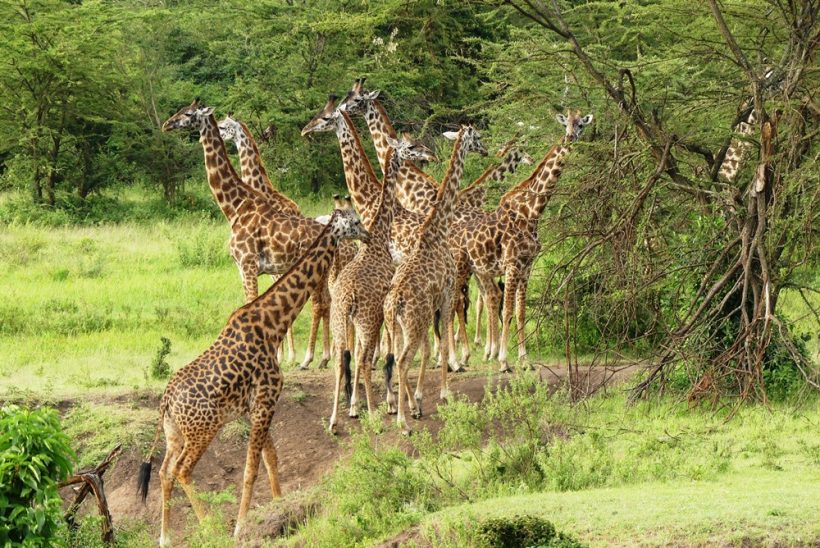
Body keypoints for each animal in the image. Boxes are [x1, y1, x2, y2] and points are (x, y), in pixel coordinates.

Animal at [139, 204, 372, 544]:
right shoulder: (265, 400)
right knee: (182, 470)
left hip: (174, 434)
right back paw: (211, 527)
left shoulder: (257, 406)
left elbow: (270, 458)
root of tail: (166, 400)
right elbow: (251, 468)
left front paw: (281, 508)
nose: (368, 235)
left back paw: (165, 537)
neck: (273, 325)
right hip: (202, 431)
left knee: (164, 470)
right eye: (354, 222)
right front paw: (239, 527)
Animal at [382, 125, 486, 432]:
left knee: (394, 359)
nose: (485, 149)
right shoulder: (448, 293)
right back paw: (403, 422)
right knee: (403, 360)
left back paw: (405, 409)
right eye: (477, 137)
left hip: (397, 327)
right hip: (414, 323)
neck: (437, 229)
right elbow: (444, 341)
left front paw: (420, 399)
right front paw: (445, 391)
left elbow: (435, 345)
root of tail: (395, 303)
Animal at [454, 109, 588, 370]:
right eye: (565, 123)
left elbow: (520, 312)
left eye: (580, 125)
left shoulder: (527, 266)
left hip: (475, 270)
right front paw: (504, 360)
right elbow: (506, 311)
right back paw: (458, 358)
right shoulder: (512, 265)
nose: (570, 137)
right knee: (455, 303)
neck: (532, 212)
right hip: (460, 267)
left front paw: (525, 360)